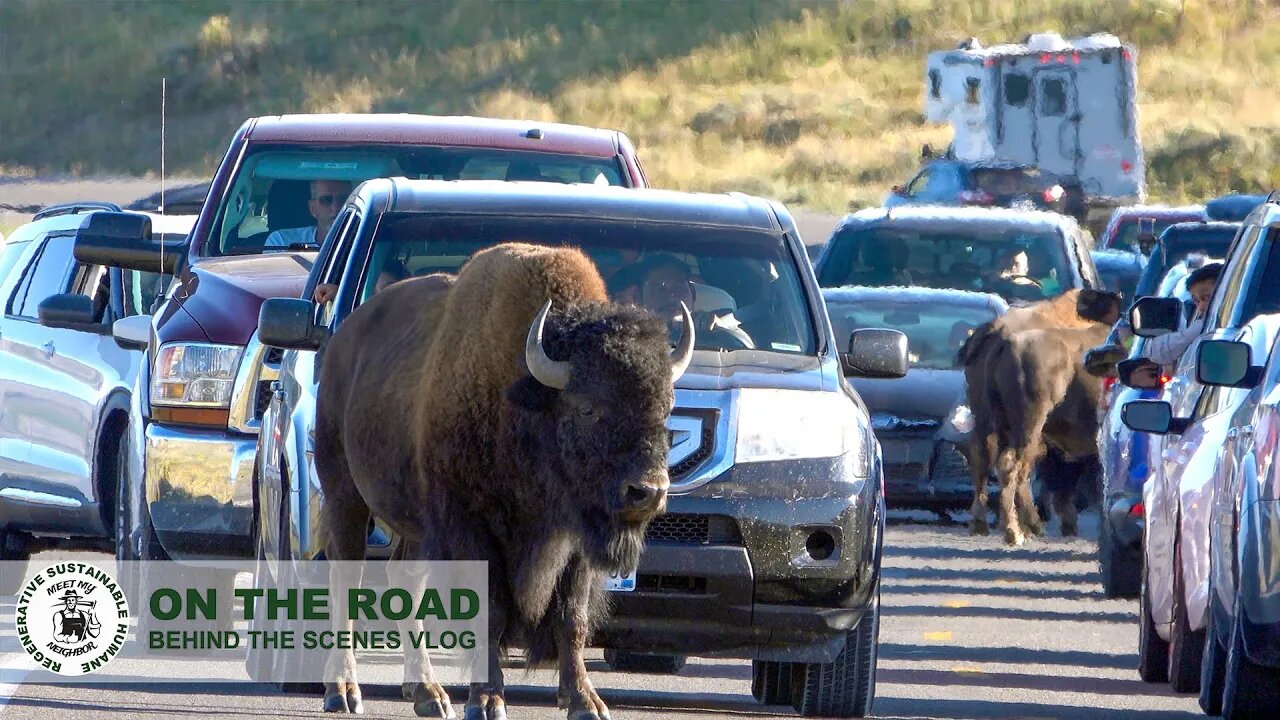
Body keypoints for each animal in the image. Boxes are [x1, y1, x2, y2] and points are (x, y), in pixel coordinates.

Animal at [311, 243, 696, 712]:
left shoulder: (577, 539)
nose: (648, 491)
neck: (525, 397)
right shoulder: (472, 526)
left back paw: (428, 693)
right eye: (587, 407)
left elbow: (572, 617)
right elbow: (489, 610)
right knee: (346, 579)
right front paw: (487, 701)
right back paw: (343, 691)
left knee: (406, 582)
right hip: (344, 493)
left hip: (417, 525)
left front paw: (585, 701)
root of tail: (342, 339)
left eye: (666, 406)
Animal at [962, 288, 1121, 540]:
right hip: (1030, 422)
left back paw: (985, 525)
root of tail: (1002, 337)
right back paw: (1014, 531)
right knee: (1011, 464)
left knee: (984, 459)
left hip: (987, 418)